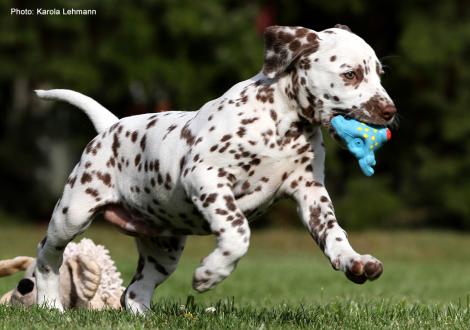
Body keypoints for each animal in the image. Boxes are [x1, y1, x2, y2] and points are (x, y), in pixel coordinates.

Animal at [34, 24, 396, 314]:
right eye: (350, 74)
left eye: (379, 73)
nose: (390, 111)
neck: (281, 124)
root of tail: (111, 126)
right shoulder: (207, 178)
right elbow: (238, 232)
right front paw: (210, 274)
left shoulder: (311, 192)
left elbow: (333, 232)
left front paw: (353, 261)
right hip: (73, 214)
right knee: (48, 255)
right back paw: (50, 303)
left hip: (163, 248)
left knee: (135, 291)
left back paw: (143, 317)